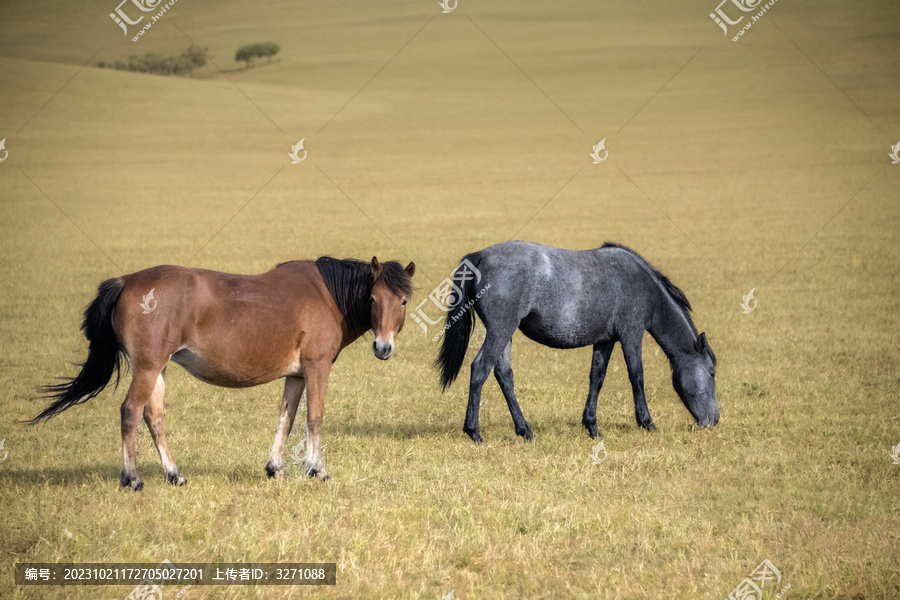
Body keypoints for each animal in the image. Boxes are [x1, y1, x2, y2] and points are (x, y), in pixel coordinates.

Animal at [29, 256, 416, 488]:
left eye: (403, 301)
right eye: (372, 299)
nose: (383, 347)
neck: (327, 294)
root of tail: (126, 281)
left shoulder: (296, 375)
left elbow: (287, 418)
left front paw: (275, 467)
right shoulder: (316, 367)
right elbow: (314, 418)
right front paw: (317, 469)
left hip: (157, 370)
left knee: (154, 417)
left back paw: (174, 474)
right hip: (148, 368)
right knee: (130, 412)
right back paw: (132, 478)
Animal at [436, 241, 716, 442]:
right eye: (712, 373)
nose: (714, 421)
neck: (643, 284)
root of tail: (480, 255)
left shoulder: (605, 341)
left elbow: (597, 378)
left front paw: (592, 427)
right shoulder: (632, 334)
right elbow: (637, 376)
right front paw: (647, 423)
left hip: (505, 334)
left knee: (504, 375)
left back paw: (525, 431)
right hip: (500, 331)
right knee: (479, 369)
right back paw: (474, 431)